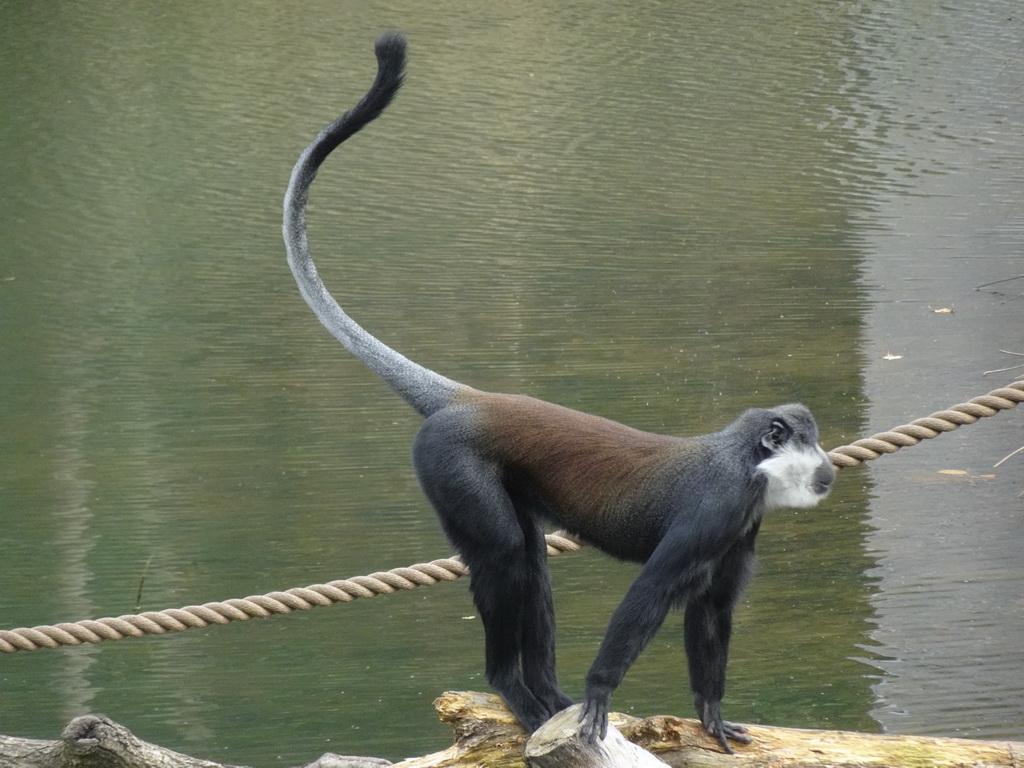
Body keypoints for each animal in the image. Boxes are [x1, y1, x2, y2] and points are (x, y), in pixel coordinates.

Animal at [278, 33, 831, 753]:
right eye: (807, 441)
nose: (827, 468)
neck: (748, 462)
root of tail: (469, 399)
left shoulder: (742, 526)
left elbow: (710, 611)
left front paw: (709, 712)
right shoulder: (718, 507)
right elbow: (649, 595)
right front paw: (599, 695)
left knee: (530, 557)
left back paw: (543, 691)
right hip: (450, 465)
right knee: (506, 557)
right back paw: (515, 688)